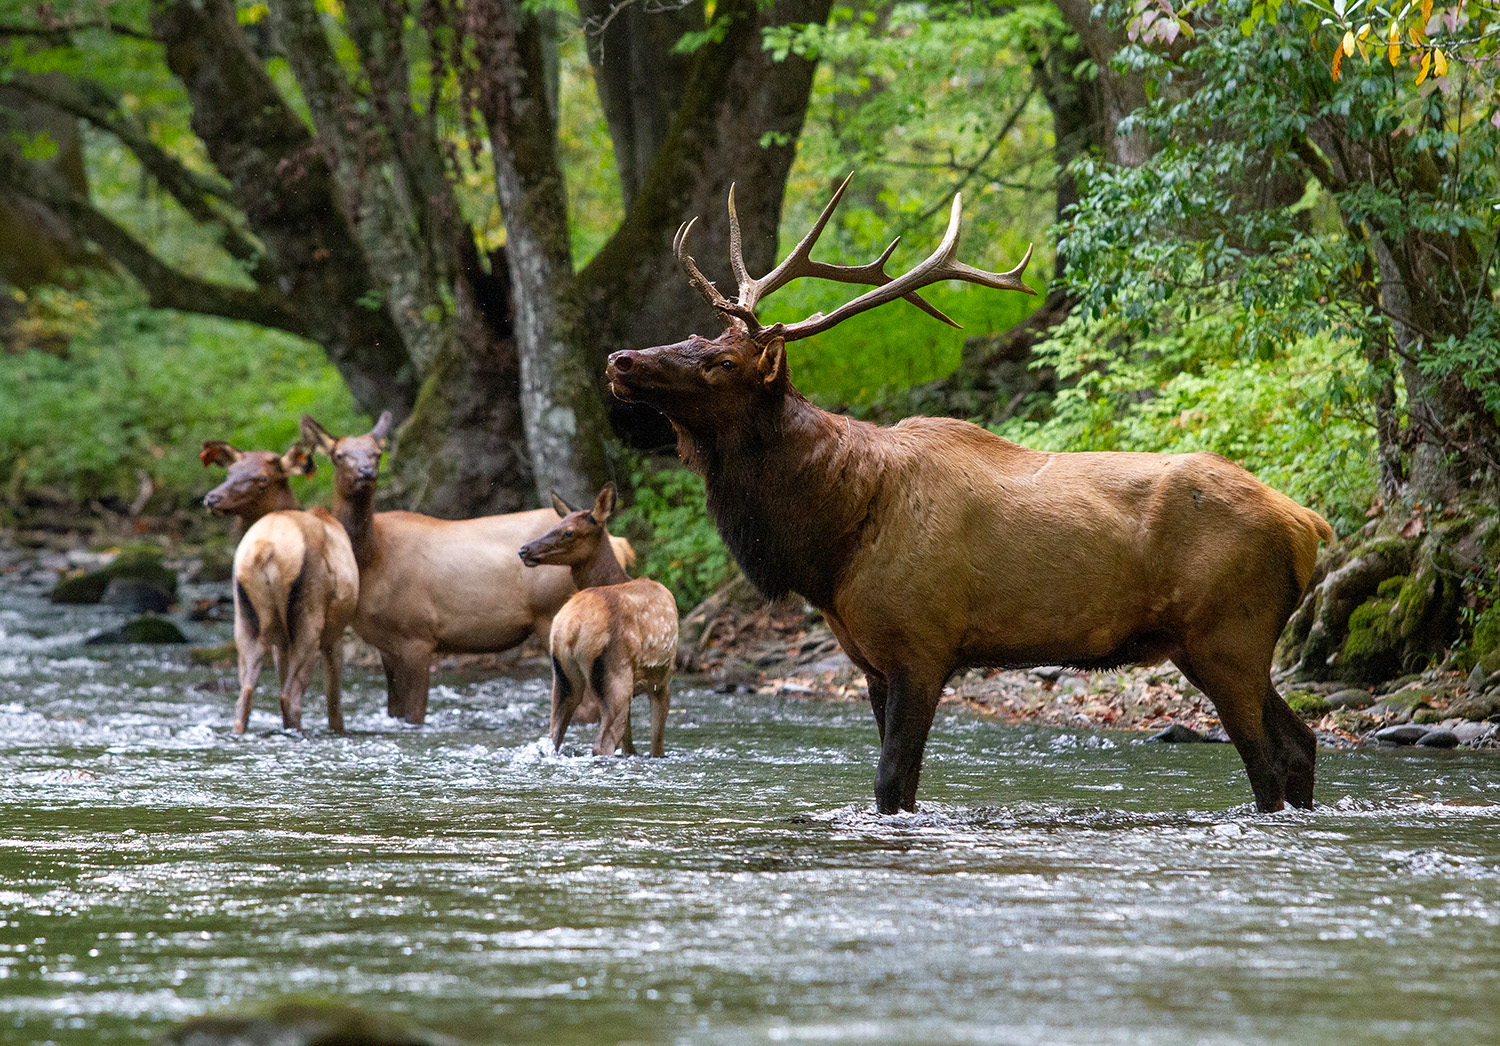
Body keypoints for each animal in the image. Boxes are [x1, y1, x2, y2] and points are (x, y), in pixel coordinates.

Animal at [201, 439, 359, 734]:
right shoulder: (336, 631)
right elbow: (334, 703)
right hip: (308, 617)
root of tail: (266, 549)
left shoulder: (281, 641)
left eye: (263, 478)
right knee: (290, 697)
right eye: (230, 472)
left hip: (245, 619)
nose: (212, 498)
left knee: (244, 697)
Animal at [299, 413, 637, 726]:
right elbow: (395, 711)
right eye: (338, 455)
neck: (371, 560)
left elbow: (414, 714)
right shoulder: (387, 646)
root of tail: (619, 543)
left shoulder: (418, 636)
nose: (366, 472)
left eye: (376, 452)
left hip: (551, 614)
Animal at [518, 483, 679, 757]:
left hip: (563, 677)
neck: (621, 577)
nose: (524, 550)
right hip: (615, 673)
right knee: (603, 743)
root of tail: (572, 629)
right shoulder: (663, 677)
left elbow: (630, 746)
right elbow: (656, 746)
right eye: (555, 526)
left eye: (568, 531)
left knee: (553, 734)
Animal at [604, 175, 1334, 815]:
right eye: (695, 336)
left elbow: (891, 783)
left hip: (1228, 632)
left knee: (1267, 760)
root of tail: (1308, 524)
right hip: (1214, 642)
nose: (620, 359)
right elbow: (903, 786)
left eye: (722, 361)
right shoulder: (871, 661)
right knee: (1301, 744)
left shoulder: (921, 646)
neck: (830, 542)